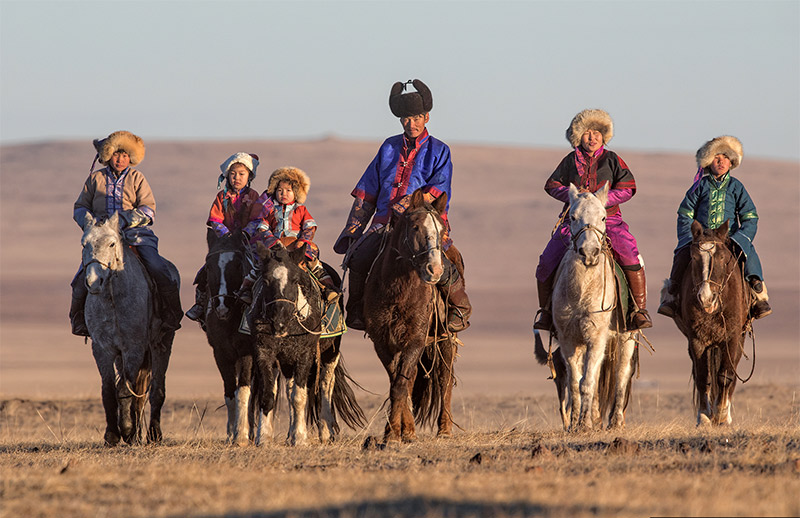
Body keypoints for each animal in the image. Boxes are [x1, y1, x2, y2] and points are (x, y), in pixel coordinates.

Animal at [80, 214, 176, 446]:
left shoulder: (134, 349)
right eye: (84, 244)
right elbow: (109, 390)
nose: (93, 283)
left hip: (161, 345)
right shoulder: (103, 350)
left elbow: (124, 389)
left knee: (156, 391)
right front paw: (112, 435)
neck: (113, 300)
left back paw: (153, 435)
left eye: (112, 243)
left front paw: (127, 430)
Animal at [360, 190, 456, 442]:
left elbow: (401, 385)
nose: (435, 270)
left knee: (444, 378)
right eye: (415, 227)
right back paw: (408, 428)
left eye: (442, 229)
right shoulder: (382, 342)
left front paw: (396, 433)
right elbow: (398, 383)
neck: (399, 292)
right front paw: (396, 431)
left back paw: (445, 429)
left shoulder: (415, 339)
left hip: (445, 339)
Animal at [676, 221, 752, 428]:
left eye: (723, 257)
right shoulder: (697, 340)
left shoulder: (732, 338)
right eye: (694, 257)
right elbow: (703, 377)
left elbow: (725, 376)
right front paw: (704, 417)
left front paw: (721, 416)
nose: (706, 297)